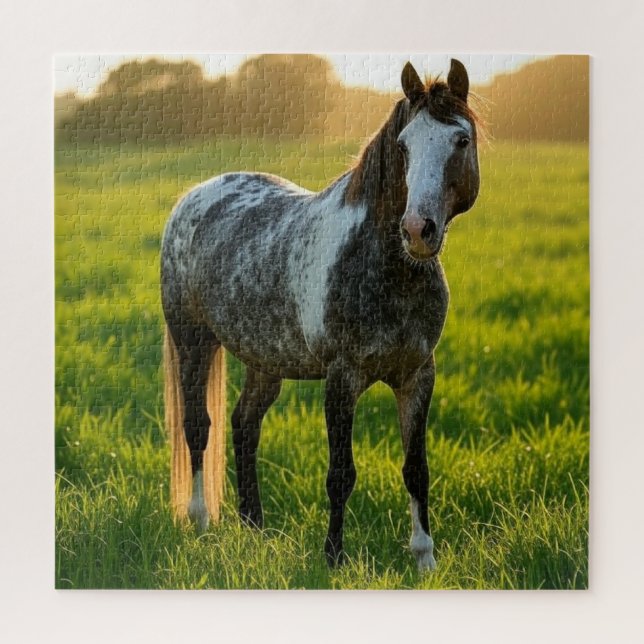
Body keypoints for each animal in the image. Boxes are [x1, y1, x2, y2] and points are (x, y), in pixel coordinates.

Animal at [161, 59, 480, 570]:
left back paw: (254, 526)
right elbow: (341, 473)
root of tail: (194, 196)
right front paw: (333, 557)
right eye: (404, 146)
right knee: (197, 426)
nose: (418, 230)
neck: (387, 269)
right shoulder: (341, 377)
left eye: (461, 140)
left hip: (264, 361)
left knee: (244, 425)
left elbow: (416, 469)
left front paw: (424, 558)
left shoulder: (417, 375)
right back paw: (200, 519)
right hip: (193, 341)